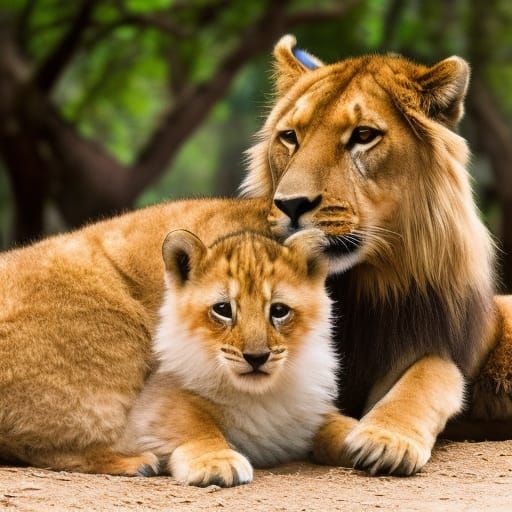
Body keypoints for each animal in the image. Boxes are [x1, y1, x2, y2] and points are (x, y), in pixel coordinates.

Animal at [241, 35, 512, 476]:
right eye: (290, 137)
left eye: (364, 135)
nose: (291, 204)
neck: (359, 286)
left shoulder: (434, 346)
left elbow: (430, 374)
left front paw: (386, 439)